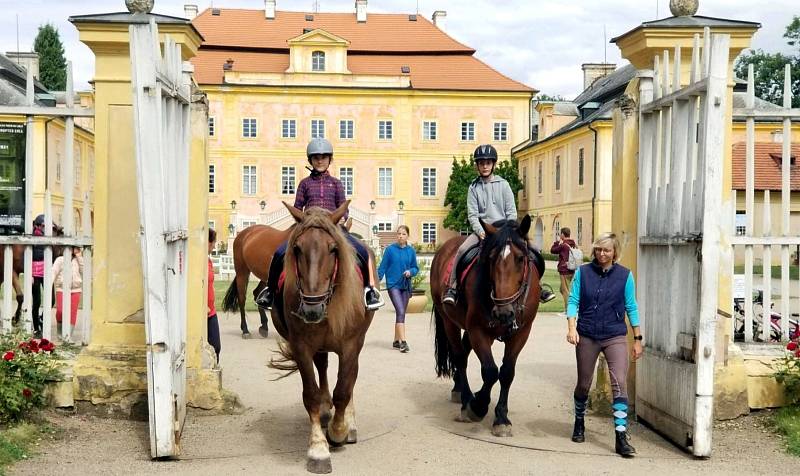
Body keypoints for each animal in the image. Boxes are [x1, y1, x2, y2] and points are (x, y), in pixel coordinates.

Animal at [266, 200, 372, 472]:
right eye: (297, 248)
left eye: (333, 249)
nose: (311, 308)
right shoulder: (301, 346)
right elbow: (311, 395)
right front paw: (318, 449)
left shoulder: (351, 345)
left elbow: (344, 389)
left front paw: (339, 430)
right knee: (322, 366)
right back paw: (326, 411)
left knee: (350, 377)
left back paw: (348, 424)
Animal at [428, 216, 540, 438]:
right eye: (491, 258)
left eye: (520, 258)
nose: (504, 312)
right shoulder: (478, 330)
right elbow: (490, 371)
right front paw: (478, 405)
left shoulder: (521, 333)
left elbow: (506, 372)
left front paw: (501, 417)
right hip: (449, 321)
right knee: (460, 357)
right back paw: (465, 400)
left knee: (464, 351)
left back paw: (458, 389)